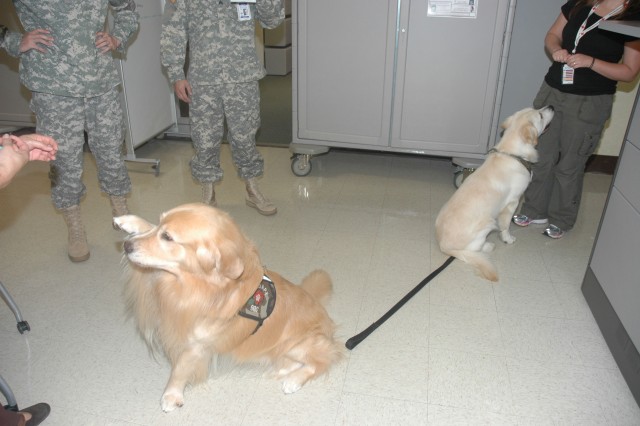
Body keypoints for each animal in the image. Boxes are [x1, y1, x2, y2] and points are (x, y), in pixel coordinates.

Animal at [436, 105, 556, 282]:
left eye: (537, 109)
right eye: (540, 115)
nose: (551, 106)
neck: (513, 154)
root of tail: (443, 246)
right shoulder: (512, 202)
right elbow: (505, 226)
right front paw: (508, 239)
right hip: (487, 223)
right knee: (475, 249)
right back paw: (488, 245)